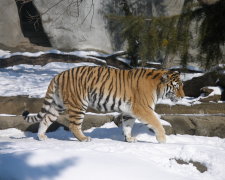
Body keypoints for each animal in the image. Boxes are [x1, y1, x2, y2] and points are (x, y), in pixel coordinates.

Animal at [22, 66, 185, 143]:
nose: (183, 96)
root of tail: (59, 74)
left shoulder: (129, 110)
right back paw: (84, 139)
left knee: (45, 119)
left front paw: (129, 139)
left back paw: (42, 137)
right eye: (177, 87)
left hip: (57, 104)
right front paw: (162, 139)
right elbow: (157, 123)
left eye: (182, 86)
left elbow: (127, 126)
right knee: (73, 125)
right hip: (78, 104)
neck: (157, 86)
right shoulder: (143, 108)